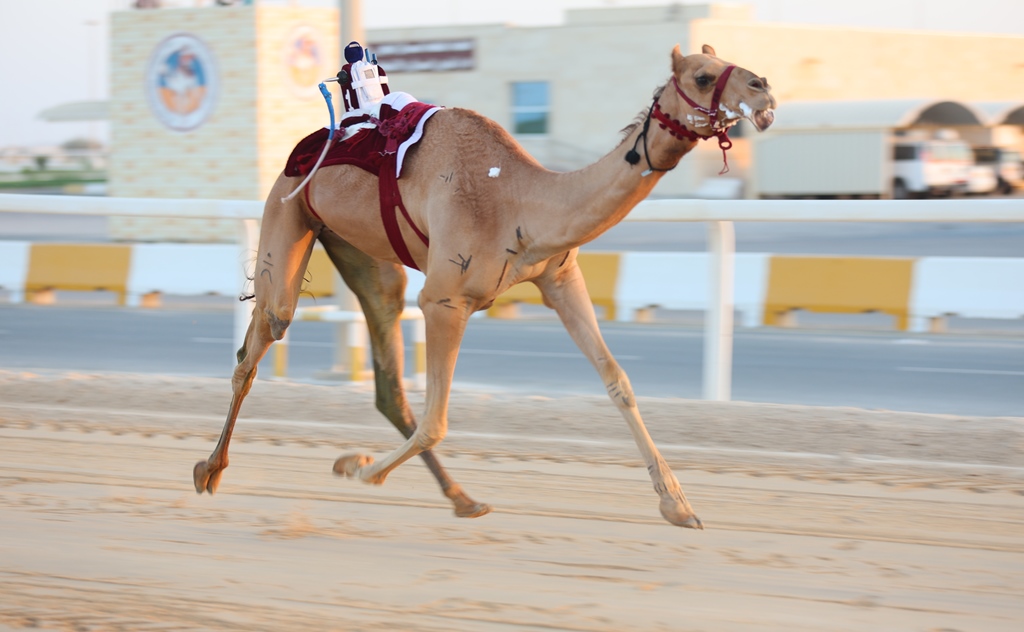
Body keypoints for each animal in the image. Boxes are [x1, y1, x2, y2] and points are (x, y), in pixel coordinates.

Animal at [193, 45, 774, 528]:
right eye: (703, 75)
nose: (764, 89)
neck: (519, 201)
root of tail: (310, 143)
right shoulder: (444, 298)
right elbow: (437, 419)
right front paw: (356, 467)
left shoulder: (559, 277)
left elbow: (618, 381)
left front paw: (678, 505)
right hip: (288, 211)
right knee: (260, 339)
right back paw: (209, 470)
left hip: (362, 251)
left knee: (386, 380)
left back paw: (462, 498)